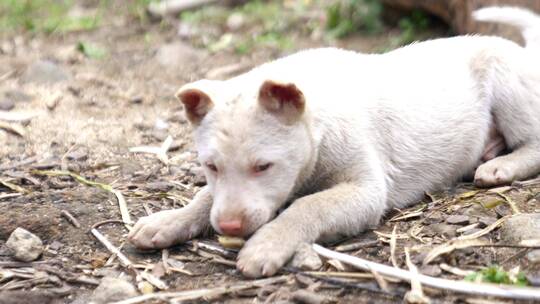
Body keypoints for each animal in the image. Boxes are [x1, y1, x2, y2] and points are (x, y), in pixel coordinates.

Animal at [130, 7, 540, 278]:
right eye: (210, 166)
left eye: (263, 166)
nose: (230, 227)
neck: (318, 121)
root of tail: (523, 52)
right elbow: (205, 196)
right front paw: (168, 220)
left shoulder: (366, 189)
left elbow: (308, 206)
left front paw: (266, 245)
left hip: (509, 84)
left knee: (533, 142)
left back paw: (499, 165)